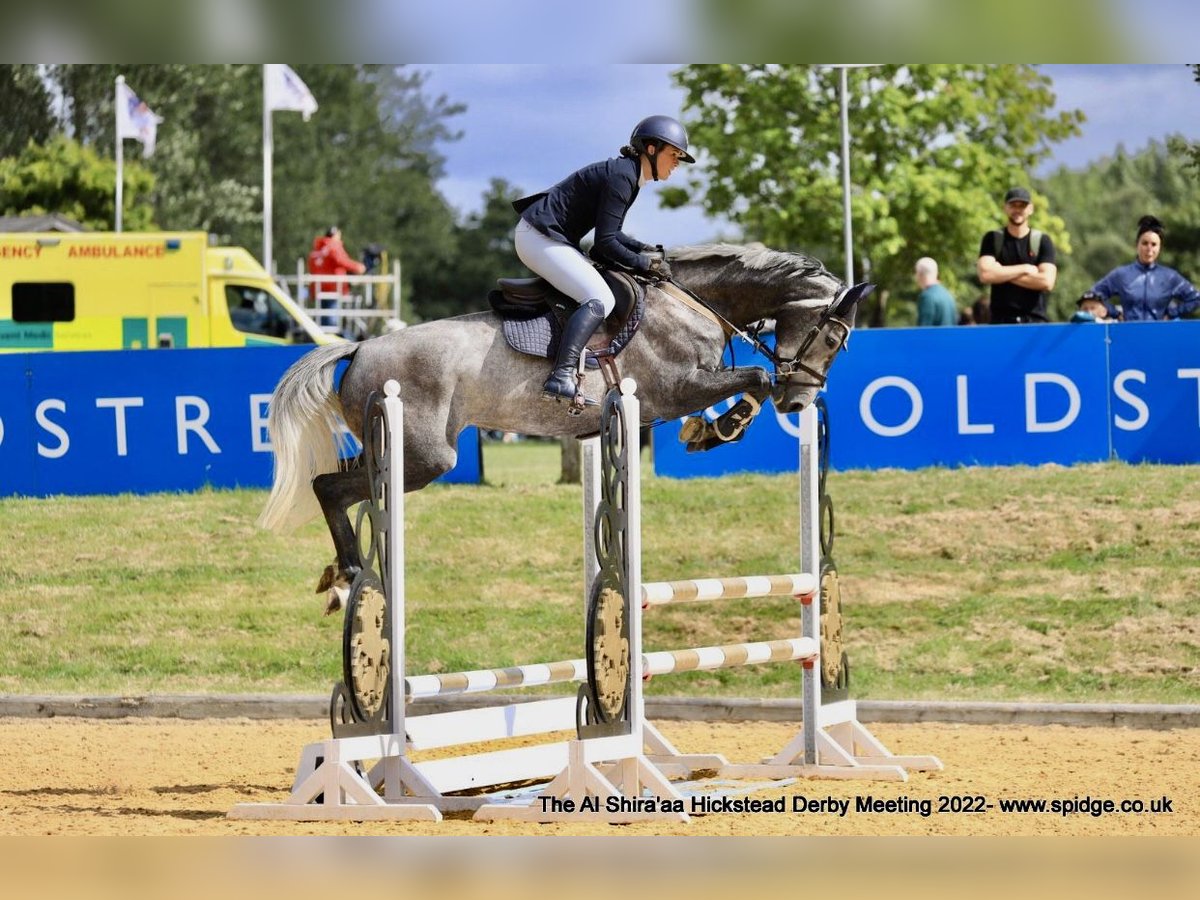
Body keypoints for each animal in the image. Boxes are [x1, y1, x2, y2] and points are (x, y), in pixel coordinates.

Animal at [258, 243, 868, 607]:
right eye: (836, 337)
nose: (801, 400)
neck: (693, 302)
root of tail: (359, 347)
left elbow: (744, 383)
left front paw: (711, 429)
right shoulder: (676, 389)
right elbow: (754, 379)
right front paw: (724, 426)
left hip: (394, 451)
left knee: (337, 482)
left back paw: (342, 575)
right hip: (422, 459)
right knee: (327, 484)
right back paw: (348, 575)